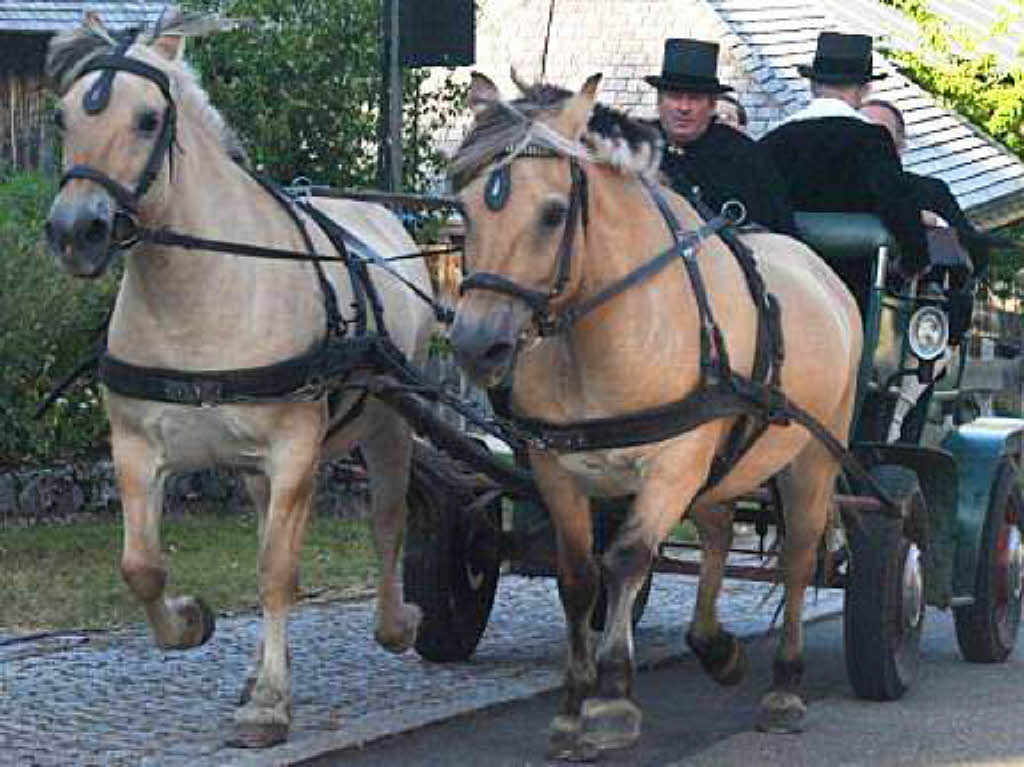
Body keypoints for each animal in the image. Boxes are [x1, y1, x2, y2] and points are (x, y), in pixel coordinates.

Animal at [43, 8, 432, 745]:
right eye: (62, 116)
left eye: (147, 120)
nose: (75, 231)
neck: (202, 292)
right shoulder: (136, 448)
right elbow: (142, 566)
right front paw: (191, 621)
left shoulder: (295, 449)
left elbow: (277, 571)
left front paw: (270, 703)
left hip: (390, 422)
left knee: (389, 520)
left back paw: (397, 622)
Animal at [448, 74, 864, 757]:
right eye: (464, 209)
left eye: (554, 213)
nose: (476, 345)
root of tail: (822, 272)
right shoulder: (557, 471)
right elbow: (578, 576)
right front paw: (573, 704)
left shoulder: (673, 464)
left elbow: (627, 559)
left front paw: (613, 697)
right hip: (724, 463)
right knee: (719, 534)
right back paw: (714, 646)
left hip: (811, 458)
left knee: (800, 559)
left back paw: (785, 686)